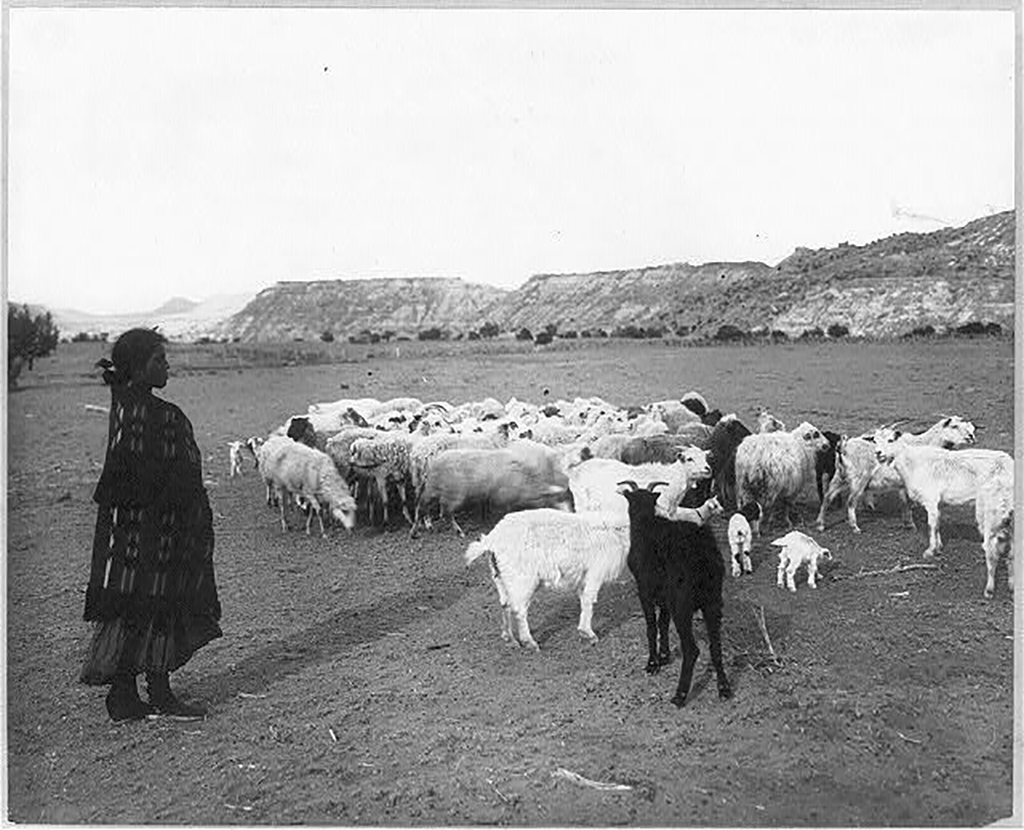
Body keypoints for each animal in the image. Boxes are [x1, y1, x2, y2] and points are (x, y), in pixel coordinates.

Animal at [610, 481, 733, 708]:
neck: (646, 523)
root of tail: (703, 556)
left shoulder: (645, 589)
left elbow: (651, 625)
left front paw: (653, 663)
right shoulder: (665, 596)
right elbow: (663, 623)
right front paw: (665, 655)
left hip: (682, 603)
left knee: (692, 650)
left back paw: (680, 695)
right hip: (712, 601)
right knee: (715, 645)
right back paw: (724, 688)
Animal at [819, 419, 978, 536]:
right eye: (954, 426)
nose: (971, 437)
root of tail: (844, 446)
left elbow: (906, 502)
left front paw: (908, 523)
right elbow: (908, 503)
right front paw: (911, 525)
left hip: (839, 477)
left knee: (827, 497)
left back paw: (820, 524)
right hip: (859, 479)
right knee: (851, 502)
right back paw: (855, 527)